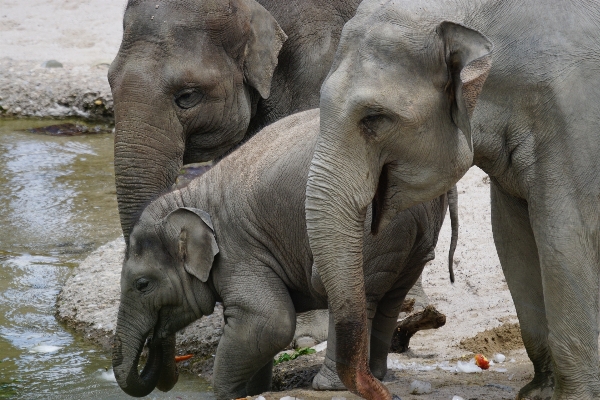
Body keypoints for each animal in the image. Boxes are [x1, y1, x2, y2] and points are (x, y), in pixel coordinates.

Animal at [112, 109, 450, 400]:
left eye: (142, 285)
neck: (189, 193)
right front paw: (253, 390)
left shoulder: (239, 251)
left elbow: (268, 321)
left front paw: (227, 394)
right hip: (412, 237)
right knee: (390, 299)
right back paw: (377, 376)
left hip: (362, 230)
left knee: (354, 293)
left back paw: (330, 385)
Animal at [304, 0, 600, 400]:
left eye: (374, 117)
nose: (387, 391)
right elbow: (513, 240)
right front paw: (537, 392)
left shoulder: (574, 116)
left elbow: (564, 238)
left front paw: (573, 396)